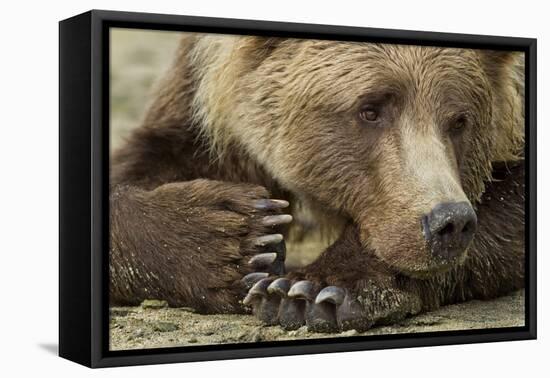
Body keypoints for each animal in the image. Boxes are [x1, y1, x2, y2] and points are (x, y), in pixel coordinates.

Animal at [108, 34, 528, 332]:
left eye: (459, 121)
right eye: (370, 109)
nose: (449, 222)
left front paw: (311, 291)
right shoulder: (198, 98)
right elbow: (147, 161)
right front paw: (236, 238)